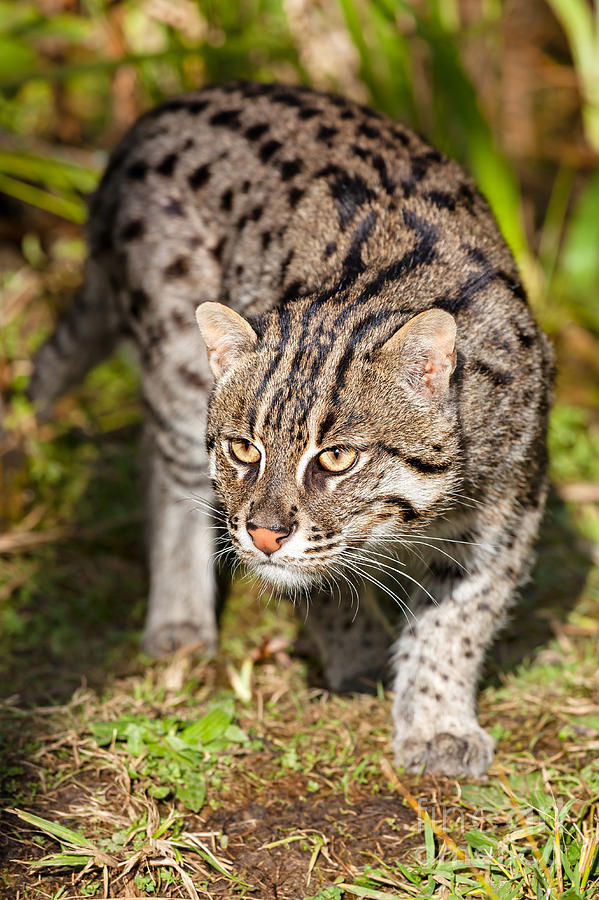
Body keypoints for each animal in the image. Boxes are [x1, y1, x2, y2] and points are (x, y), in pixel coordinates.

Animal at [28, 81, 552, 776]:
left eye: (336, 459)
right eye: (243, 449)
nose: (264, 534)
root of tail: (149, 121)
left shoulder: (510, 504)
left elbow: (458, 619)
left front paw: (436, 722)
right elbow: (321, 589)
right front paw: (360, 659)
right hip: (175, 359)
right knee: (167, 469)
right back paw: (180, 620)